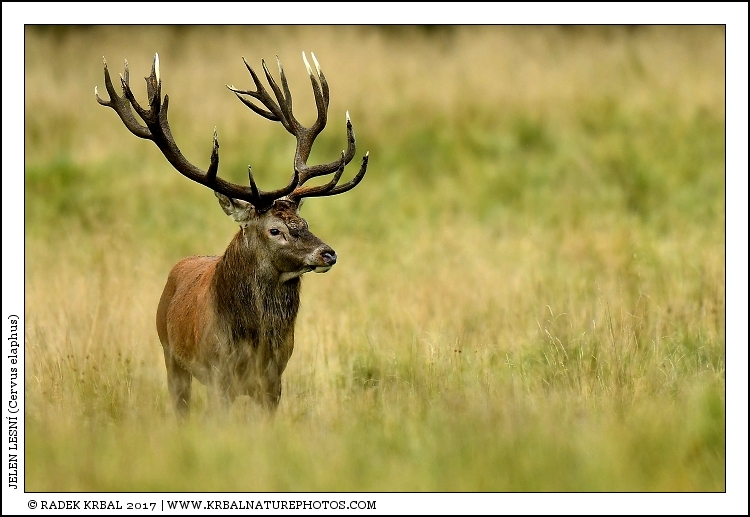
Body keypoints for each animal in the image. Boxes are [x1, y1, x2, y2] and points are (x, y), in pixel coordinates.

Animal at [96, 52, 368, 416]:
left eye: (305, 222)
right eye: (275, 229)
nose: (328, 253)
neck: (254, 343)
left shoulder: (274, 379)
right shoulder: (217, 374)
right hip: (170, 354)